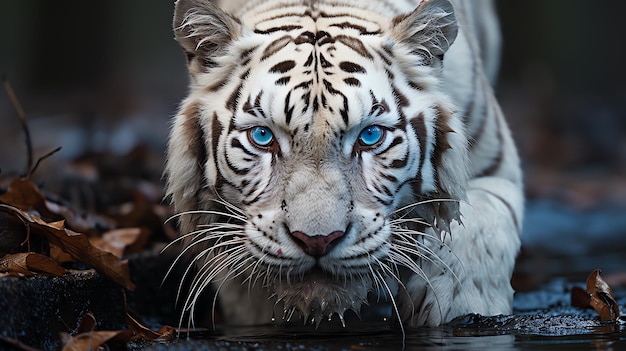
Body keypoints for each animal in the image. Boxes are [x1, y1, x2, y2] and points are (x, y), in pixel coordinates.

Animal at [165, 0, 520, 328]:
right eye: (263, 136)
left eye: (370, 136)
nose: (318, 240)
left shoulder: (496, 167)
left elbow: (482, 223)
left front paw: (457, 303)